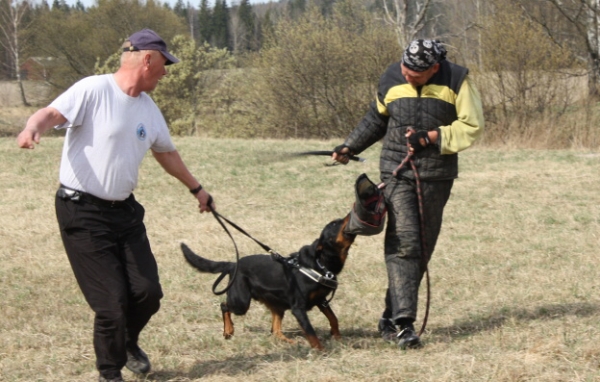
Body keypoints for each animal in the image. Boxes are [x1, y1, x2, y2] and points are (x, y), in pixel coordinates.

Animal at [178, 213, 356, 350]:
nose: (349, 214)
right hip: (241, 301)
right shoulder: (298, 308)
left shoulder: (321, 299)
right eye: (334, 223)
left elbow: (333, 318)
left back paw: (289, 342)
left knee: (275, 330)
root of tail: (233, 264)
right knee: (224, 305)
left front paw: (337, 336)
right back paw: (228, 330)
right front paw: (320, 350)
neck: (321, 263)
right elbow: (310, 331)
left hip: (276, 305)